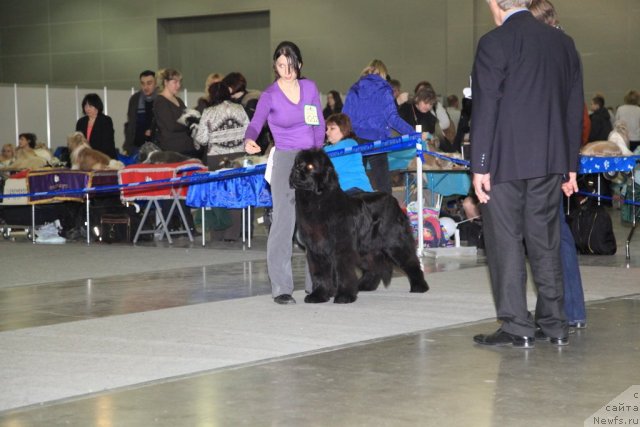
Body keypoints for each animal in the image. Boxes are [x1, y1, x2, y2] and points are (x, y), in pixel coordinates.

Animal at [290, 150, 430, 304]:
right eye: (297, 163)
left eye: (310, 166)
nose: (296, 171)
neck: (317, 201)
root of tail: (393, 200)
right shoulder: (316, 249)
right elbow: (319, 274)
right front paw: (318, 295)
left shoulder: (341, 248)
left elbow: (344, 272)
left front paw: (344, 296)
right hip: (366, 247)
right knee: (374, 266)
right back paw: (364, 285)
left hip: (394, 242)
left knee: (411, 261)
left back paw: (420, 286)